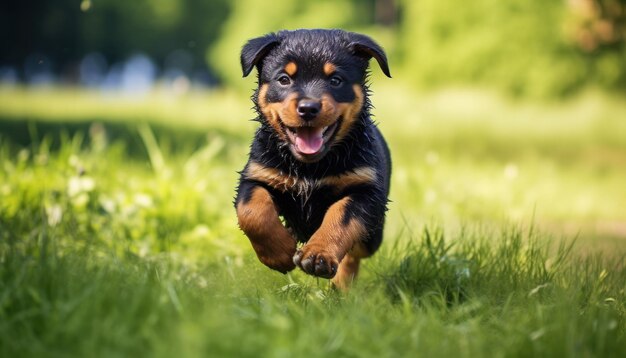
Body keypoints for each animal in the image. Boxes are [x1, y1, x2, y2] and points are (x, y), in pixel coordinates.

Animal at [234, 29, 390, 290]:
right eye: (284, 79)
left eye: (335, 80)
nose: (308, 108)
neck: (310, 167)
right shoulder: (256, 176)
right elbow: (252, 212)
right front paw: (279, 253)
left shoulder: (365, 190)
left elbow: (341, 217)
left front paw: (318, 256)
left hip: (374, 234)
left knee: (355, 253)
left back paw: (341, 285)